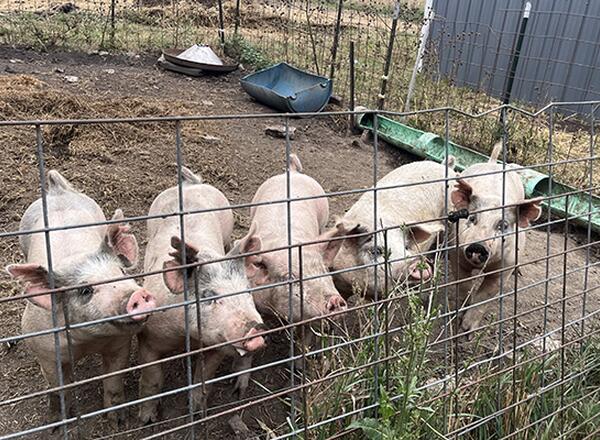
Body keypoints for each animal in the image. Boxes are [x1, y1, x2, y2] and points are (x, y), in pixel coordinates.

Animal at [5, 170, 156, 428]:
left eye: (121, 272)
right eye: (85, 290)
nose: (137, 294)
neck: (87, 341)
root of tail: (57, 191)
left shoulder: (119, 344)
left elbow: (114, 381)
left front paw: (117, 422)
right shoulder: (45, 352)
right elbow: (58, 389)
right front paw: (59, 423)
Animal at [139, 168, 266, 422]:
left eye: (247, 291)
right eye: (208, 296)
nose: (256, 330)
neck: (187, 338)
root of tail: (192, 184)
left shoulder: (216, 346)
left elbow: (203, 377)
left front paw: (198, 413)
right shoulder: (148, 337)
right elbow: (152, 380)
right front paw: (147, 420)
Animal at [450, 144, 544, 334]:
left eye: (503, 226)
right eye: (472, 218)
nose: (478, 246)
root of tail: (493, 163)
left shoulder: (505, 266)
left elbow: (485, 296)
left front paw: (468, 331)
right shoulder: (456, 253)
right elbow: (463, 285)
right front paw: (460, 318)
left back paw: (518, 272)